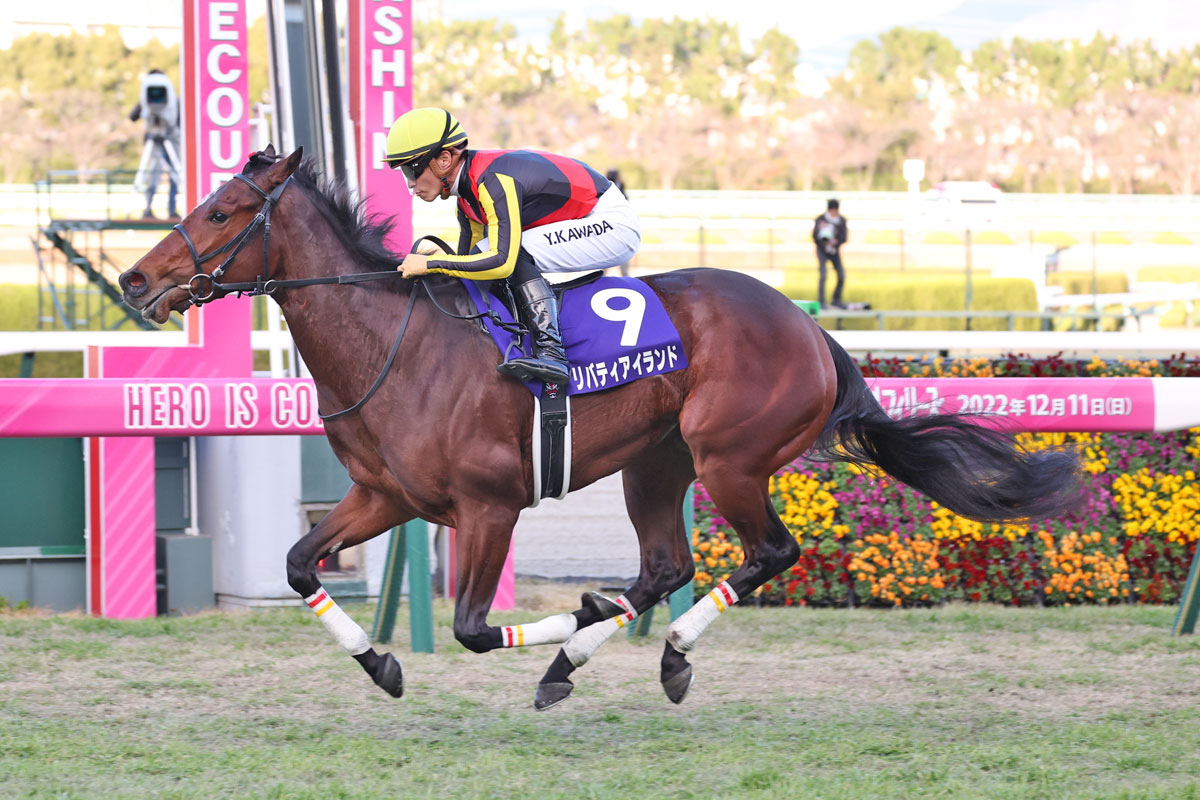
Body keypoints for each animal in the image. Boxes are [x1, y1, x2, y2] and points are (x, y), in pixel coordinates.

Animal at [118, 147, 1083, 709]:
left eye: (221, 212)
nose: (133, 281)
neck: (394, 343)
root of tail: (814, 331)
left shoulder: (490, 506)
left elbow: (474, 627)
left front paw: (570, 613)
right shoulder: (386, 496)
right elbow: (295, 563)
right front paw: (383, 665)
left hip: (730, 459)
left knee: (768, 553)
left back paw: (655, 651)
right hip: (655, 464)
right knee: (666, 566)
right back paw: (581, 658)